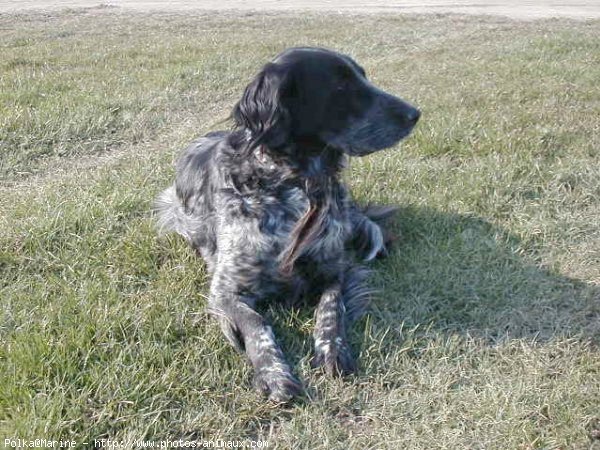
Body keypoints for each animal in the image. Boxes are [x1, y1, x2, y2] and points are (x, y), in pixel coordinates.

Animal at [155, 47, 418, 402]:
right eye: (340, 85)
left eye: (363, 76)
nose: (415, 114)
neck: (293, 183)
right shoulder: (225, 290)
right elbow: (257, 325)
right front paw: (273, 373)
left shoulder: (334, 270)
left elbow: (331, 309)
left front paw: (332, 349)